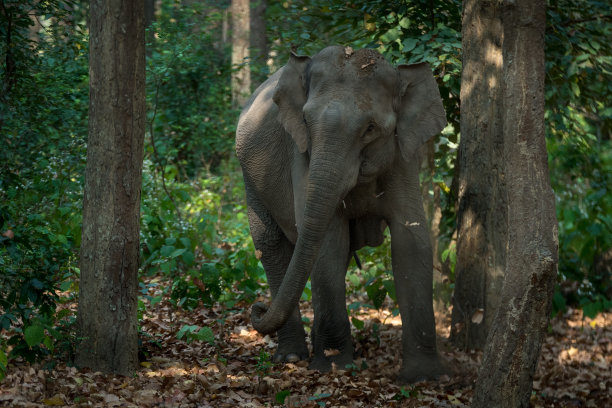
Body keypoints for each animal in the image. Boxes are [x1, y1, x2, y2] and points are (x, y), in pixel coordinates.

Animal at [237, 45, 448, 382]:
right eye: (306, 119)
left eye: (371, 129)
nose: (257, 308)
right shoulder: (302, 155)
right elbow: (329, 242)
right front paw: (333, 366)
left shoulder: (403, 158)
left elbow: (412, 241)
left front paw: (424, 376)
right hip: (251, 180)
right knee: (270, 245)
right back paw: (292, 356)